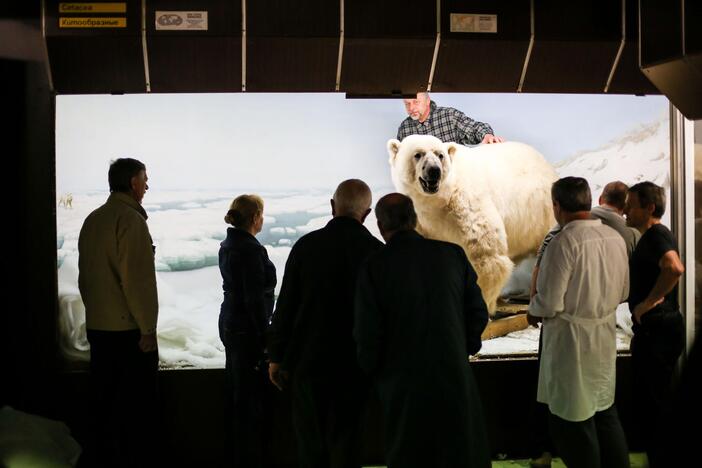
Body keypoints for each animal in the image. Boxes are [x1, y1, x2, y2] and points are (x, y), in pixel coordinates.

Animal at [388, 133, 560, 312]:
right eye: (418, 154)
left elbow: (485, 255)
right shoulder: (422, 223)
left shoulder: (465, 204)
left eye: (440, 155)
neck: (438, 202)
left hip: (543, 210)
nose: (434, 171)